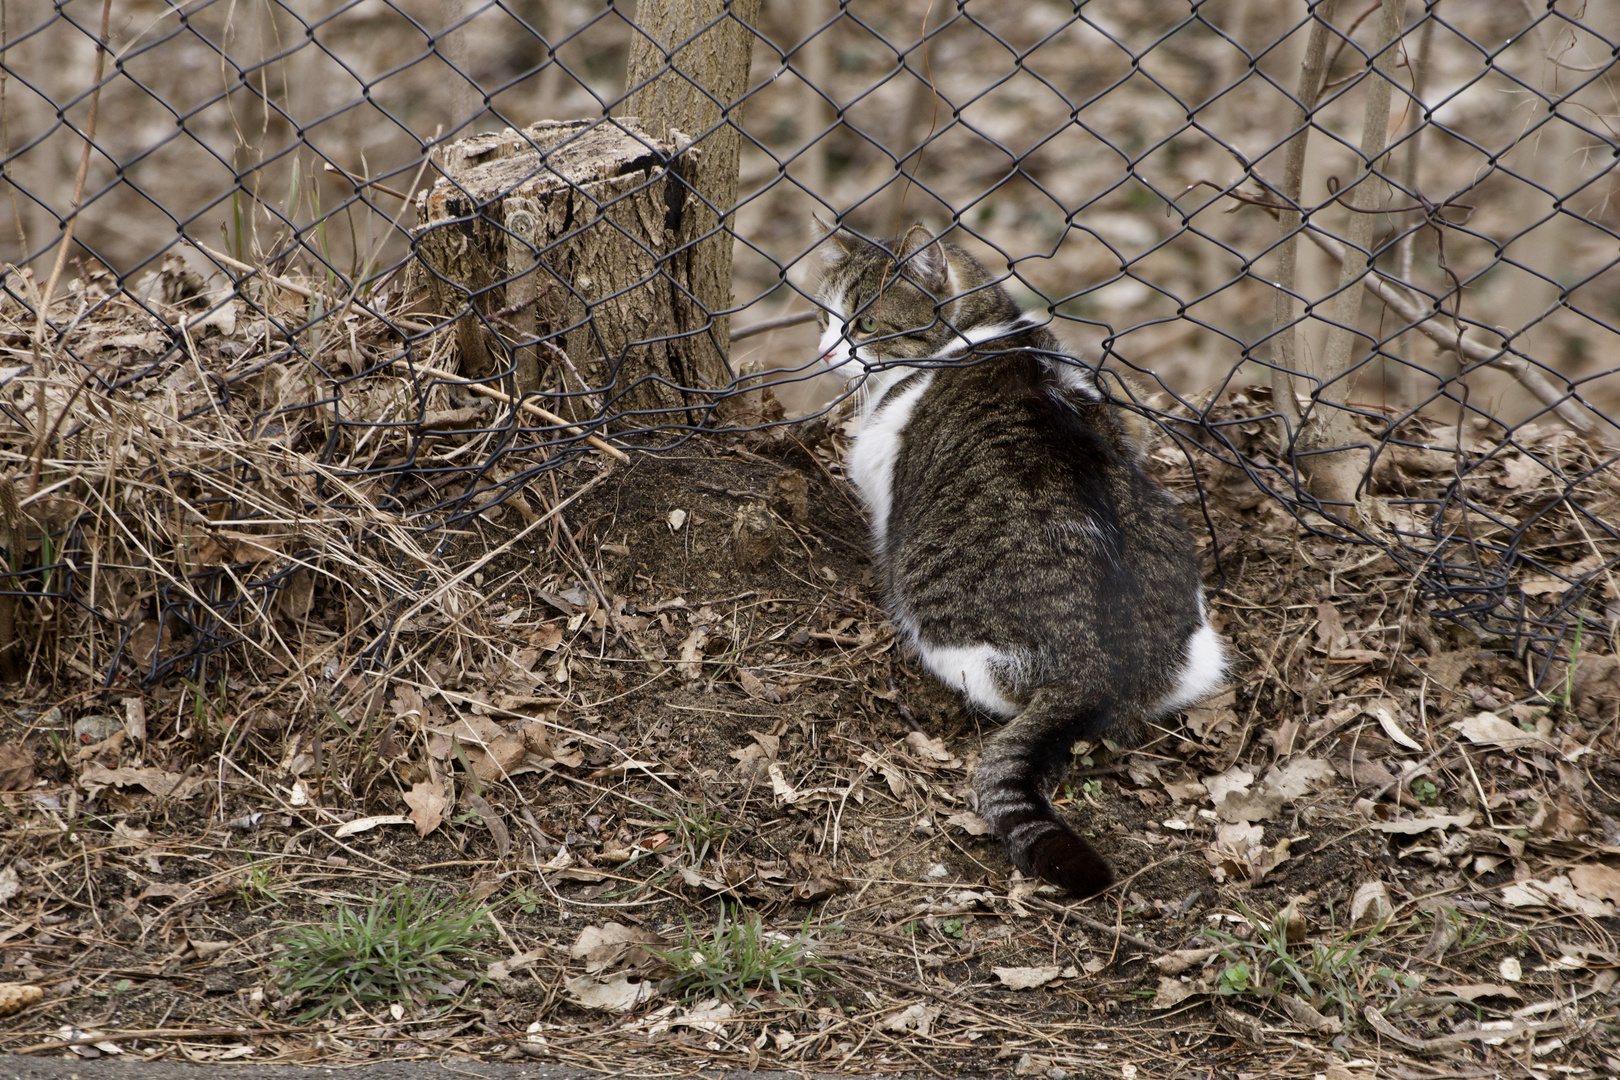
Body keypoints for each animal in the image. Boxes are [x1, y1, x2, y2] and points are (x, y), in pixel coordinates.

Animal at [816, 221, 1218, 893]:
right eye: (826, 315)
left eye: (864, 322)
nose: (823, 352)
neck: (982, 332)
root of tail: (1097, 667)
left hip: (951, 639)